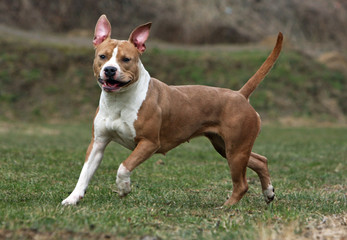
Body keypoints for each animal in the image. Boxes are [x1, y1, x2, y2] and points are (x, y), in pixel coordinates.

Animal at [61, 14, 282, 206]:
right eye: (103, 56)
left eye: (126, 59)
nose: (109, 70)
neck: (119, 100)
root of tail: (240, 94)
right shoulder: (98, 143)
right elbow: (84, 173)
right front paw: (72, 199)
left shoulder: (149, 143)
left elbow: (124, 166)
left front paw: (123, 188)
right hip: (226, 147)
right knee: (260, 160)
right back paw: (268, 193)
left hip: (235, 151)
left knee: (242, 184)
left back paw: (227, 207)